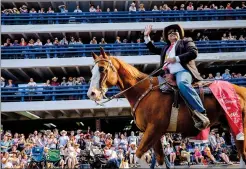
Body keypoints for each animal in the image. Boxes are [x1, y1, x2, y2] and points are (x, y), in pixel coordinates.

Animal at [87, 47, 246, 166]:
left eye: (102, 69)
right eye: (91, 71)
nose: (91, 93)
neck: (144, 91)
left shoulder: (154, 129)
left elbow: (138, 156)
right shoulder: (153, 133)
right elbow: (159, 160)